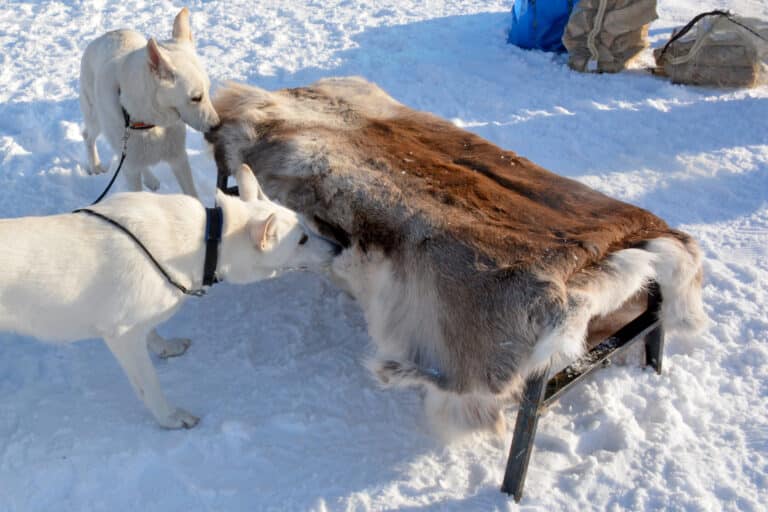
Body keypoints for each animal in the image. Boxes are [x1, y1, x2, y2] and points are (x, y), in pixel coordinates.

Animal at [0, 165, 340, 428]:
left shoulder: (139, 320)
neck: (208, 240)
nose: (339, 246)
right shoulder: (122, 337)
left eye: (304, 227)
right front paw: (171, 418)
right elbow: (149, 386)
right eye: (302, 239)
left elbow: (152, 332)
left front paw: (165, 347)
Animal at [79, 8, 219, 196]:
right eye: (195, 98)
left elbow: (192, 194)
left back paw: (150, 179)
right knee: (87, 136)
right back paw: (95, 166)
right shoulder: (130, 169)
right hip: (96, 120)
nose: (217, 126)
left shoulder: (179, 158)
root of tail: (107, 34)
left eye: (208, 90)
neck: (150, 122)